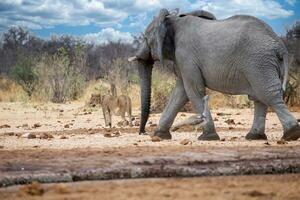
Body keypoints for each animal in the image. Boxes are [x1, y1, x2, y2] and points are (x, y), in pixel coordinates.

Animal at [128, 8, 300, 141]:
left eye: (145, 37)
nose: (142, 132)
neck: (174, 20)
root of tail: (280, 45)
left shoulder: (186, 55)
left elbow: (193, 90)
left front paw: (207, 137)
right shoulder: (183, 60)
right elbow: (181, 92)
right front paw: (159, 136)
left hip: (258, 62)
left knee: (268, 94)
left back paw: (291, 134)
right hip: (264, 63)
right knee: (260, 97)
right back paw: (254, 137)